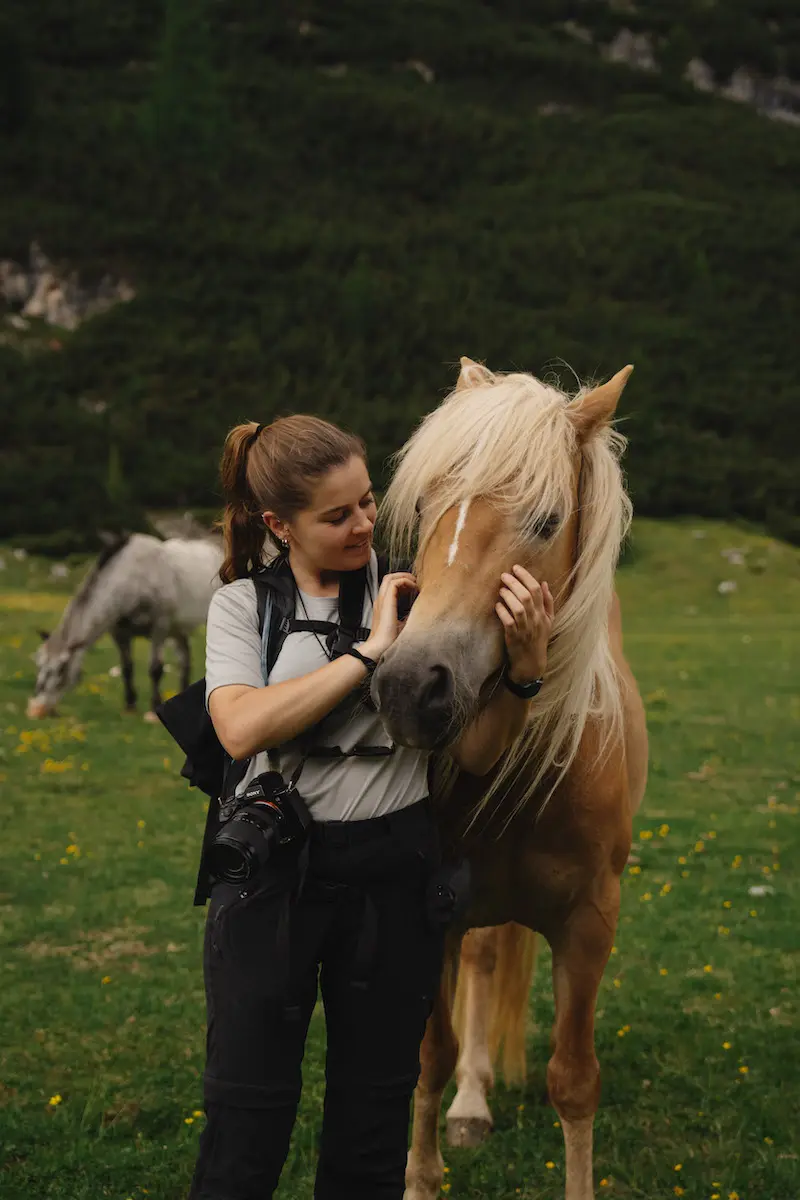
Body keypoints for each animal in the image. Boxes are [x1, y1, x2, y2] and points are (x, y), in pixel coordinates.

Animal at [28, 537, 221, 720]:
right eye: (38, 664)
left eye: (62, 668)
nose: (38, 709)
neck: (133, 580)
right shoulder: (119, 632)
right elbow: (127, 668)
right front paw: (130, 707)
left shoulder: (160, 626)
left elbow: (155, 669)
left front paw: (152, 710)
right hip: (177, 630)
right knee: (185, 660)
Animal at [376, 357, 652, 1200]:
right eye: (425, 503)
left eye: (547, 520)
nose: (411, 686)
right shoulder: (429, 913)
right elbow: (427, 1057)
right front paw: (423, 1170)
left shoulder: (590, 924)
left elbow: (575, 1081)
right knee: (482, 965)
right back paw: (472, 1103)